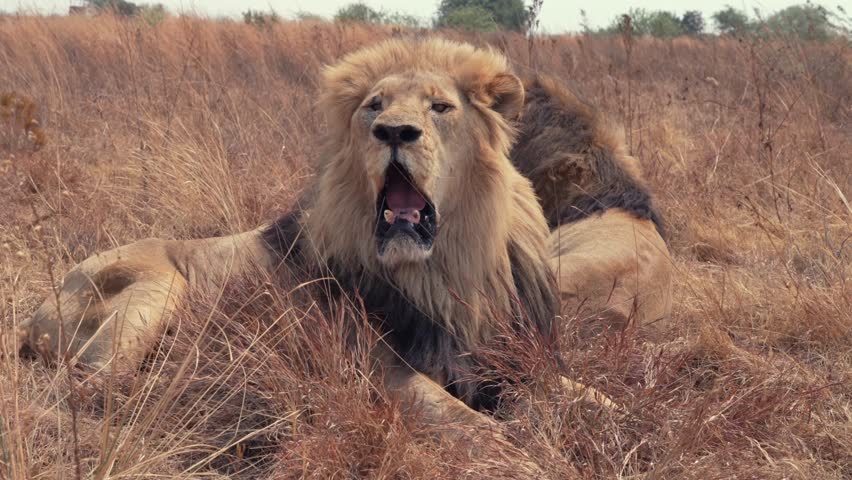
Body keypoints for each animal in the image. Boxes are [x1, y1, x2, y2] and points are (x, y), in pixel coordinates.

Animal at [17, 39, 667, 434]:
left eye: (440, 107)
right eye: (373, 106)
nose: (394, 131)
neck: (447, 272)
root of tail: (35, 311)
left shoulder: (507, 362)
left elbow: (598, 399)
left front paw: (633, 422)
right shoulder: (381, 373)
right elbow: (470, 427)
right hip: (159, 290)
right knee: (87, 392)